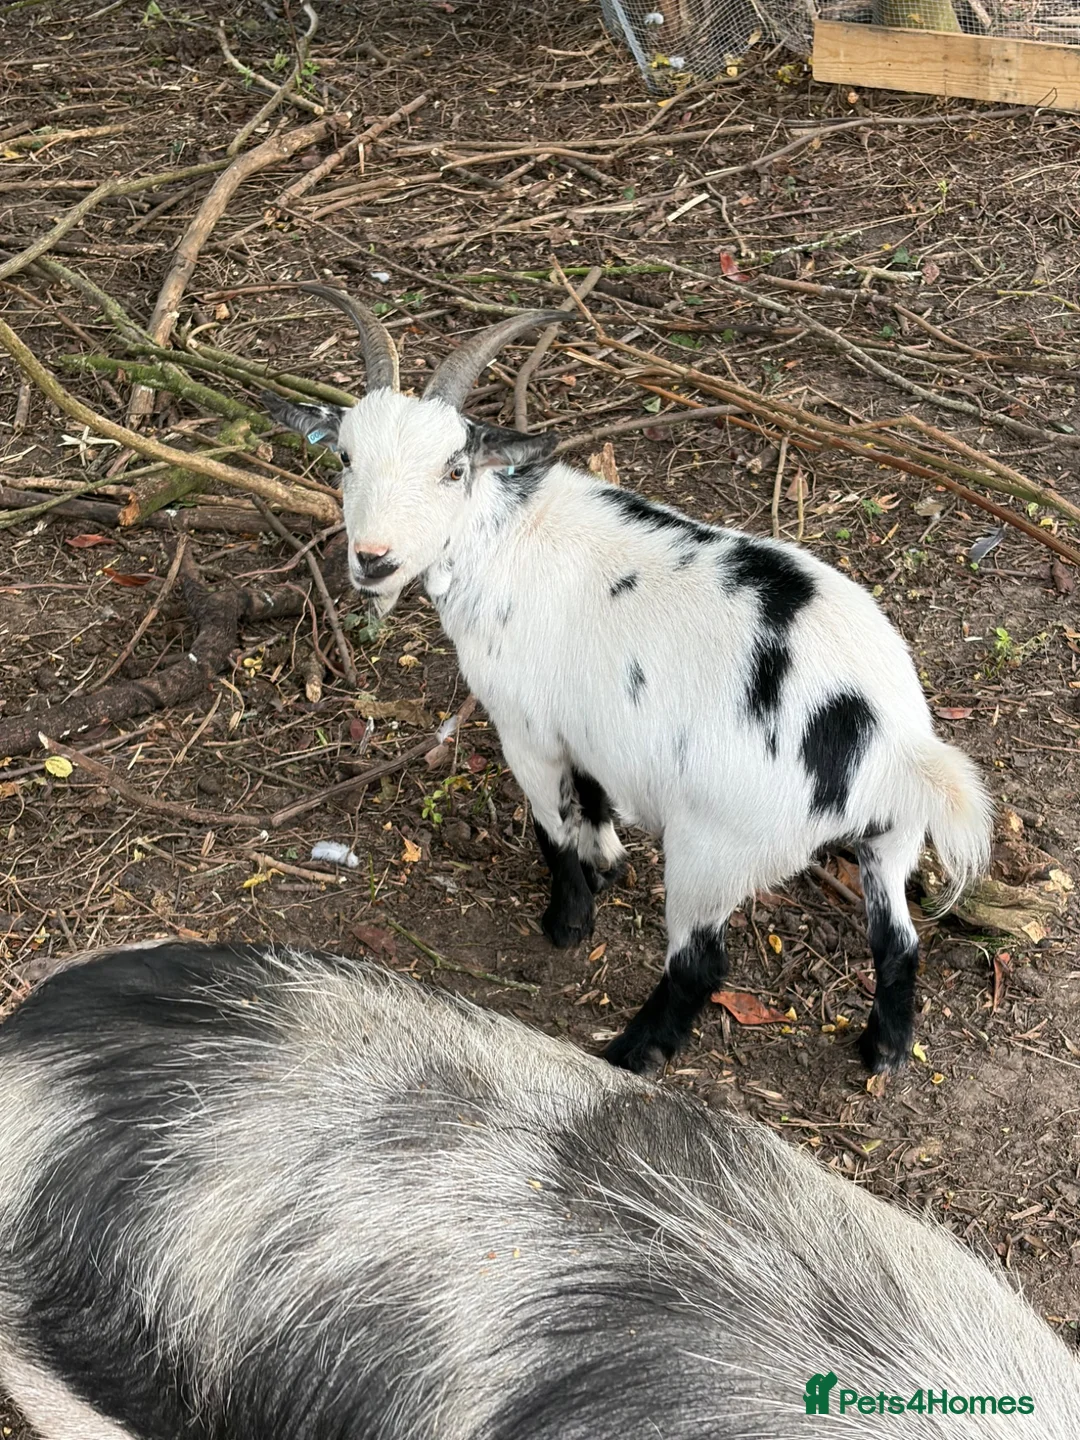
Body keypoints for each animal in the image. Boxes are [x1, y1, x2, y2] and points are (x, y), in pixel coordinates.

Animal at [263, 285, 992, 1075]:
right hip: (892, 840)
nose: (374, 559)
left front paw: (568, 918)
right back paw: (882, 1049)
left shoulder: (526, 727)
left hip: (717, 849)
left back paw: (628, 1053)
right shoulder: (589, 727)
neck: (503, 538)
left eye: (454, 469)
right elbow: (591, 796)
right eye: (344, 456)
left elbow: (552, 823)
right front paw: (607, 861)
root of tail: (888, 740)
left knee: (700, 964)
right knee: (899, 941)